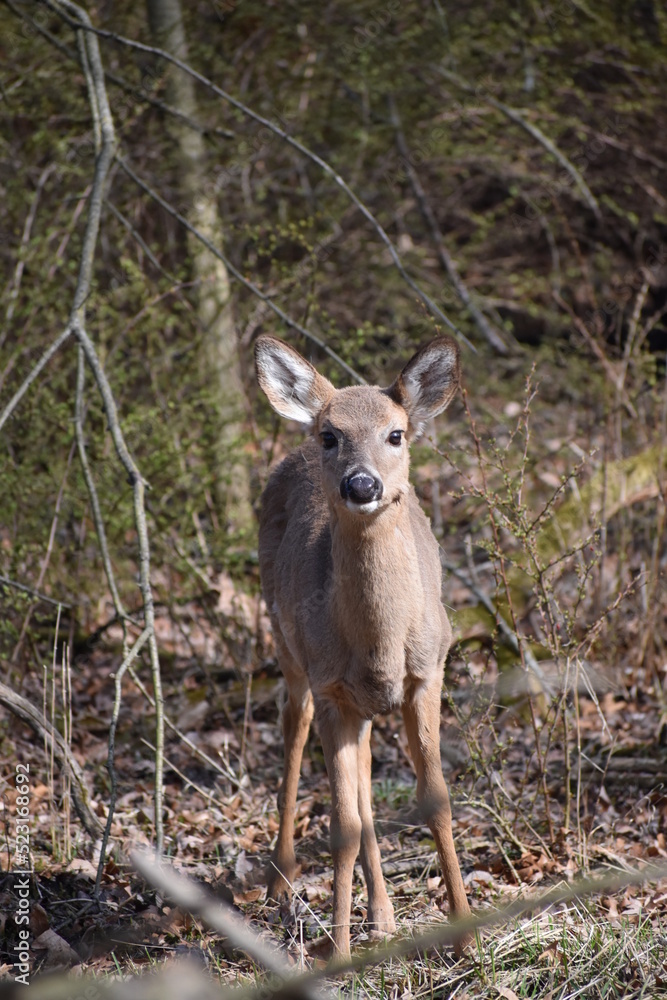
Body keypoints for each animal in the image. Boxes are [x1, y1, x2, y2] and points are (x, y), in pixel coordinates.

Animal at [255, 334, 470, 958]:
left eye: (396, 433)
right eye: (331, 435)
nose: (362, 484)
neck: (380, 644)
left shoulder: (428, 672)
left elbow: (436, 800)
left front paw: (467, 934)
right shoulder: (331, 686)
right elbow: (341, 827)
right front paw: (338, 952)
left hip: (364, 704)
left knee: (368, 776)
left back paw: (384, 916)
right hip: (289, 648)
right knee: (294, 726)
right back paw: (281, 880)